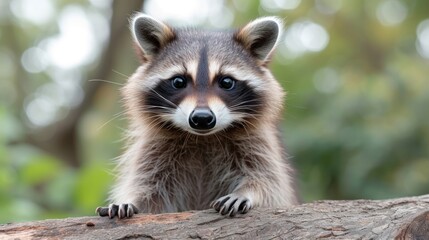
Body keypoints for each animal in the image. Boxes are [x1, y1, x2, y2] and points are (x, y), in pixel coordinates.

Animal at [96, 14, 298, 218]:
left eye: (226, 82)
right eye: (178, 81)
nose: (202, 118)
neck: (203, 138)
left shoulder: (256, 144)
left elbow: (269, 182)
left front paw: (247, 192)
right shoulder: (154, 150)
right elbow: (148, 187)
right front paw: (132, 200)